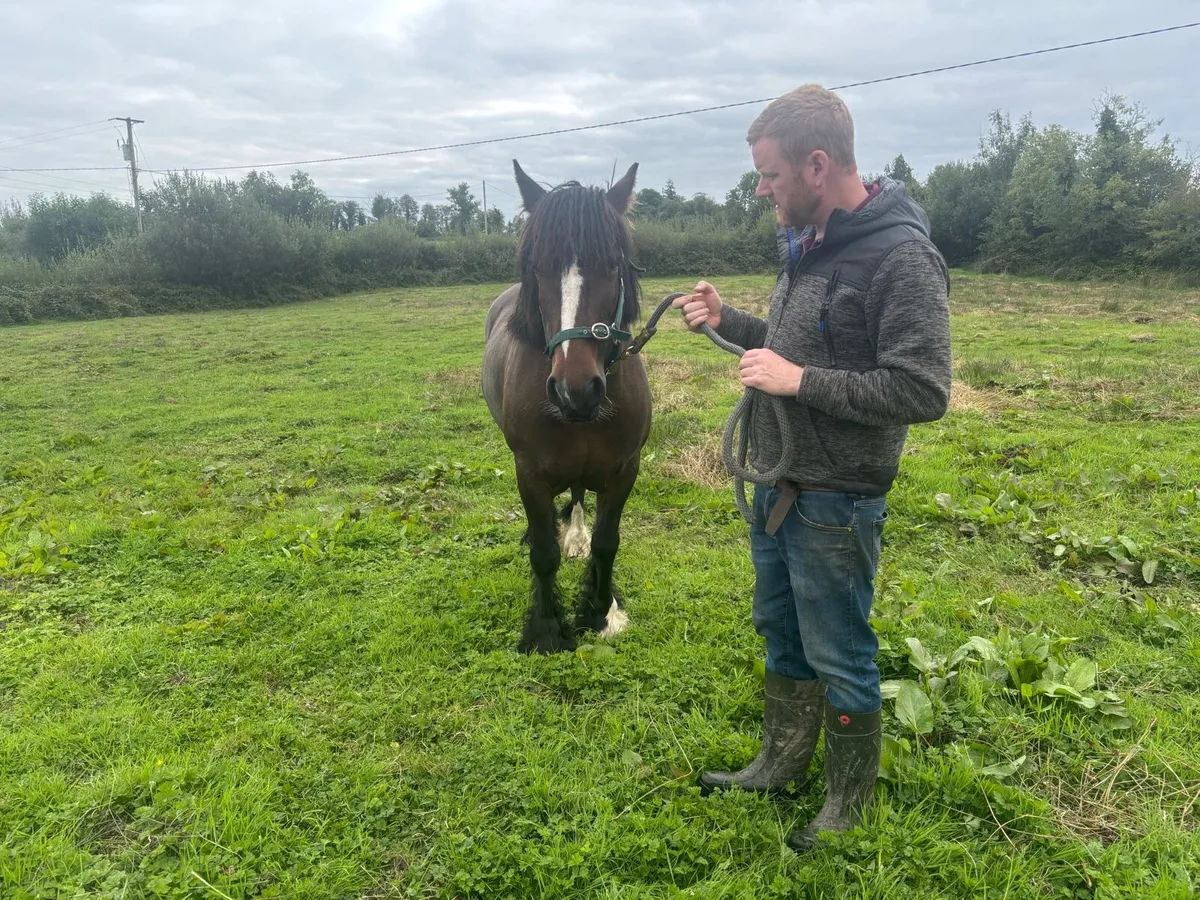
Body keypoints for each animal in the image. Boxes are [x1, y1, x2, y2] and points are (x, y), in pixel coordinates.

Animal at [482, 159, 651, 654]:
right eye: (538, 268)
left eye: (612, 264)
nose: (576, 389)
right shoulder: (530, 473)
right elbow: (543, 552)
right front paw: (545, 628)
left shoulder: (625, 470)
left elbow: (607, 542)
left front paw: (601, 610)